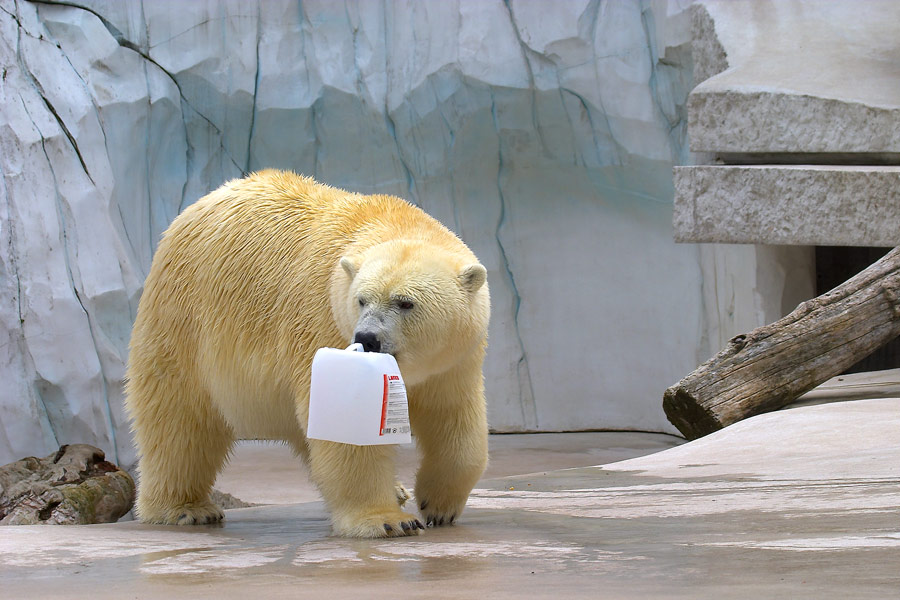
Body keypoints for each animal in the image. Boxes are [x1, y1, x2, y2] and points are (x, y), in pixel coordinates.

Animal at [123, 170, 488, 540]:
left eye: (405, 303)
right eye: (361, 300)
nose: (367, 338)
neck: (388, 220)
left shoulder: (453, 362)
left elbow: (454, 421)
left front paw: (438, 505)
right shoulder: (323, 322)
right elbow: (347, 424)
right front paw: (388, 520)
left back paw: (397, 489)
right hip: (183, 317)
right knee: (179, 418)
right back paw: (186, 509)